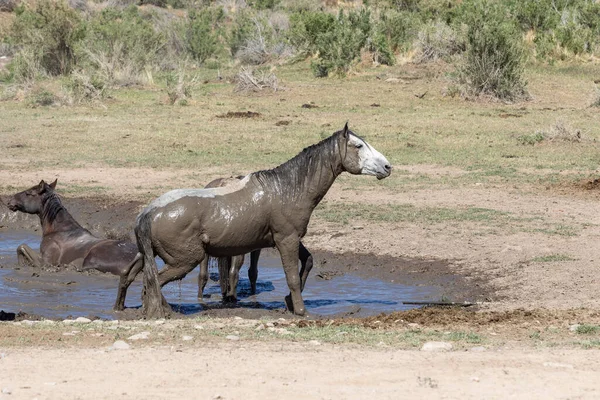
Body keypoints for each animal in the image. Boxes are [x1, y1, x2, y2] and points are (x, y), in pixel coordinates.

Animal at [7, 180, 139, 308]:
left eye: (28, 193)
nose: (10, 201)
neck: (59, 229)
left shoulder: (46, 263)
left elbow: (21, 247)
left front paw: (22, 265)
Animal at [131, 123, 392, 318]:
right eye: (358, 145)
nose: (387, 166)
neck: (287, 189)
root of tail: (149, 212)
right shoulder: (286, 240)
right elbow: (291, 277)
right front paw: (300, 310)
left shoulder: (288, 238)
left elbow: (307, 262)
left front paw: (288, 302)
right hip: (185, 261)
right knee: (154, 282)